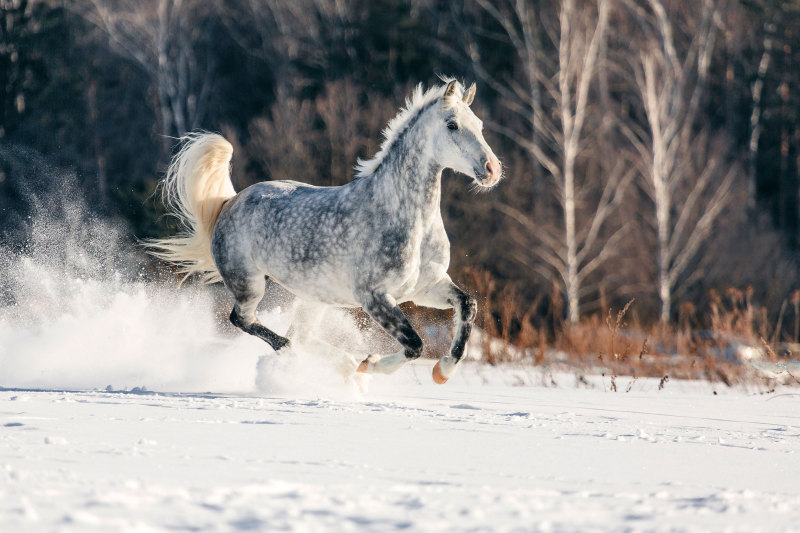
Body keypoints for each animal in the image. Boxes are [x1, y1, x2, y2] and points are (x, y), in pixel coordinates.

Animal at [147, 80, 504, 382]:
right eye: (452, 125)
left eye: (480, 126)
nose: (492, 170)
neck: (406, 218)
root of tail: (229, 202)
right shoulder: (374, 296)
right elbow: (414, 345)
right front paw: (370, 365)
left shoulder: (425, 288)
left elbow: (468, 306)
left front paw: (442, 371)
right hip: (249, 283)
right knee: (245, 321)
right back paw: (306, 358)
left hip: (315, 296)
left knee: (301, 334)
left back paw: (344, 366)